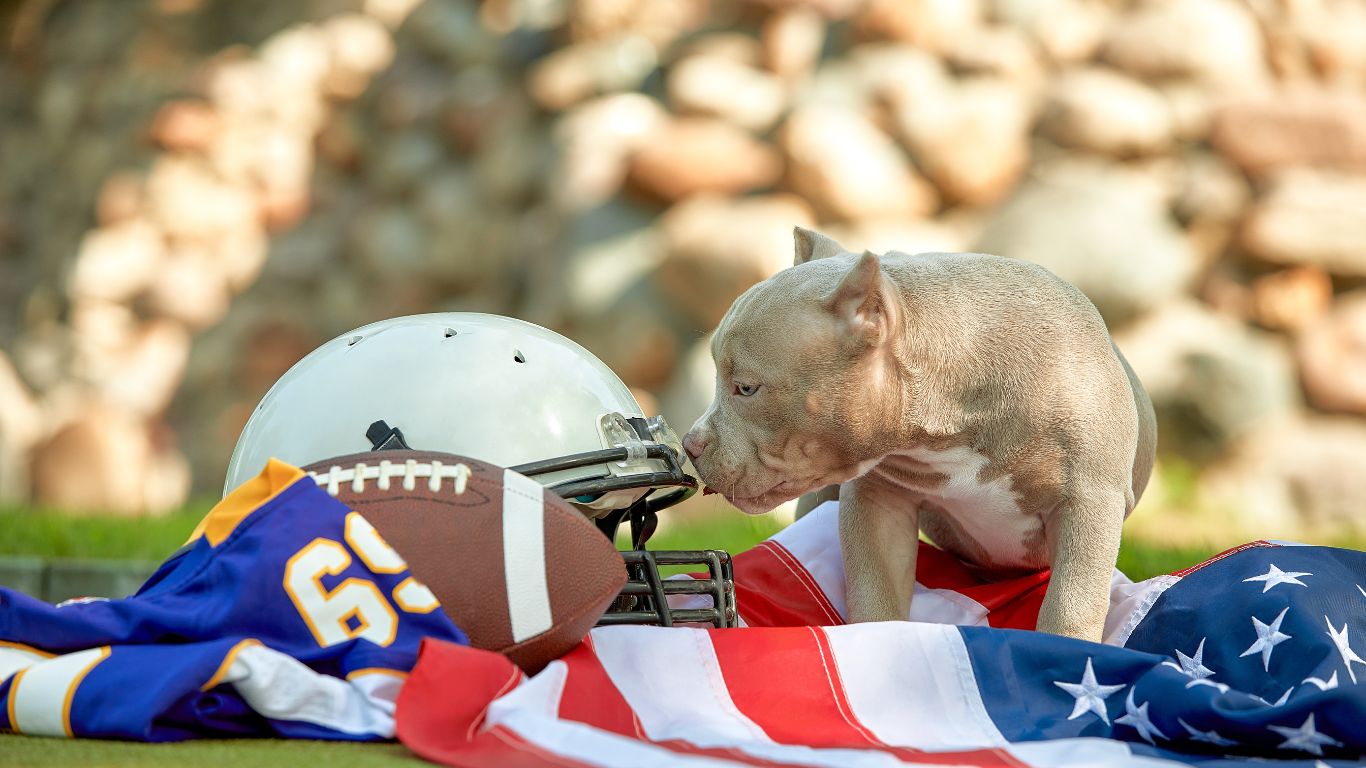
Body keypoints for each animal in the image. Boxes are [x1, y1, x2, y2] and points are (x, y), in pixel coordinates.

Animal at [683, 226, 1152, 639]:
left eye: (746, 388)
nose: (690, 444)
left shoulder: (1088, 502)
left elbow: (1071, 605)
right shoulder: (878, 501)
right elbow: (876, 595)